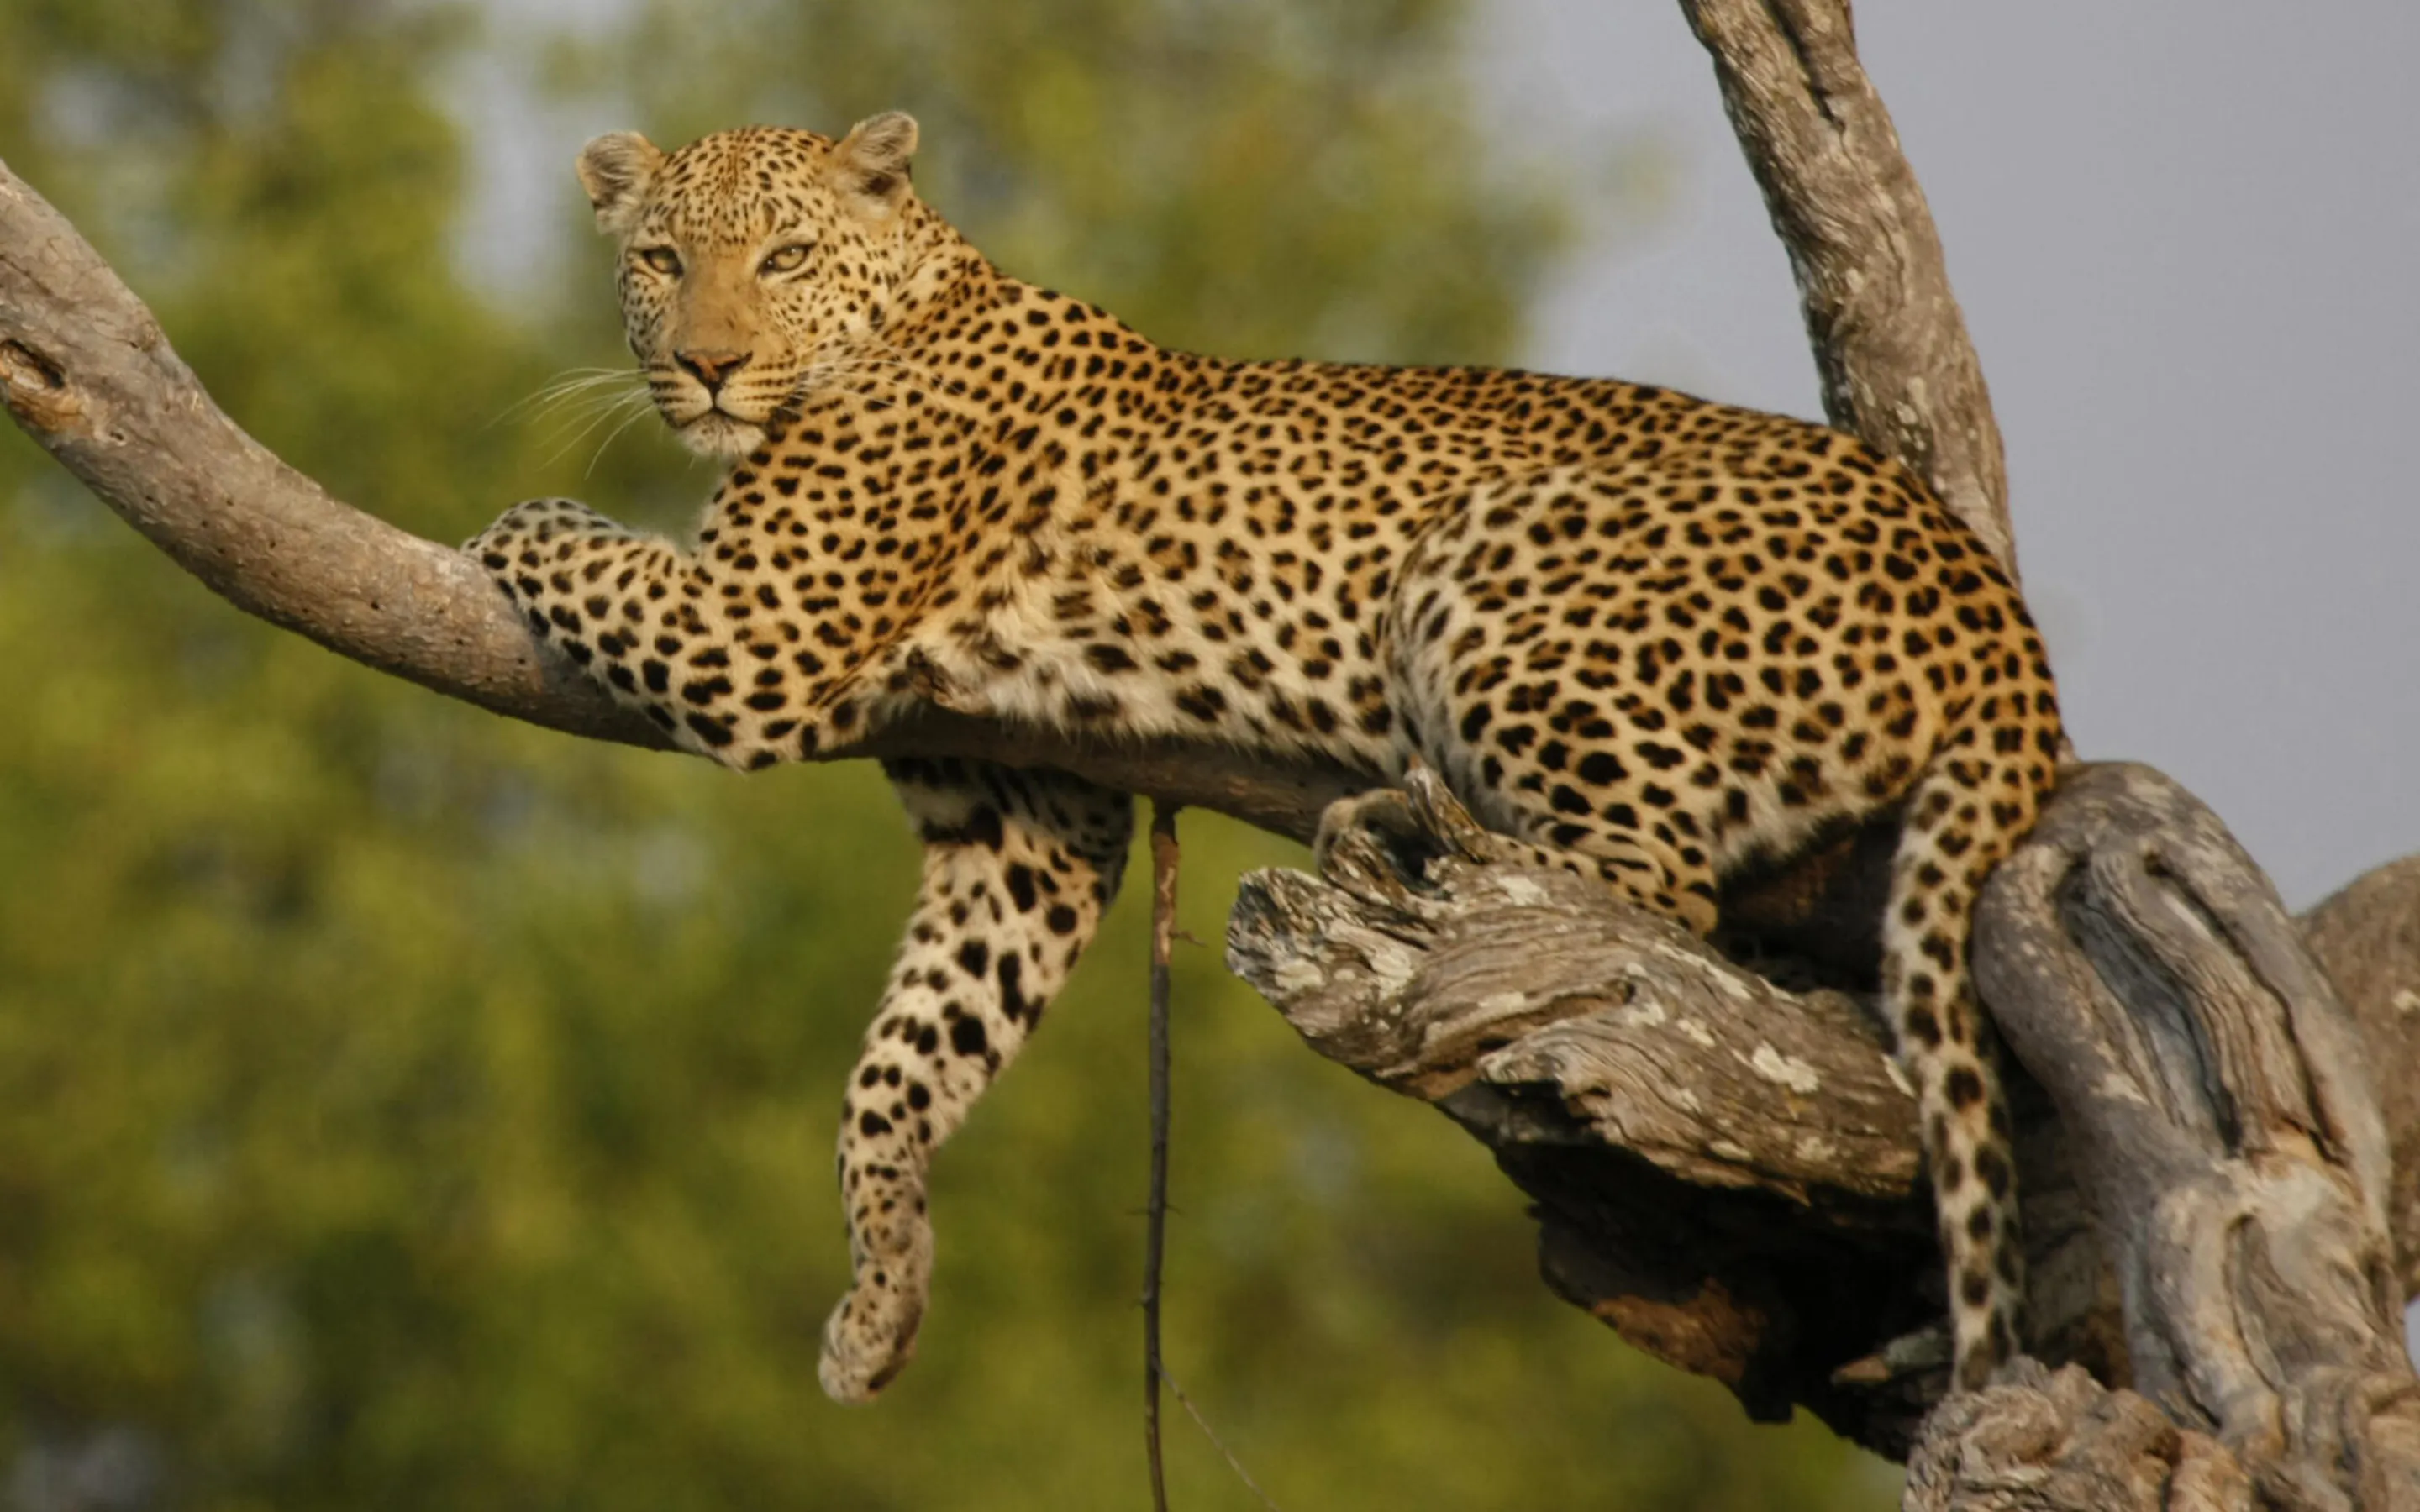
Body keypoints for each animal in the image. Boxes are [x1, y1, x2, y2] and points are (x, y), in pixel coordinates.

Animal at [468, 114, 2062, 1403]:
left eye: (786, 255)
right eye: (663, 260)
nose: (707, 366)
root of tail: (1988, 597)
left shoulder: (758, 632)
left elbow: (559, 540)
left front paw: (505, 527)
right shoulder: (1025, 821)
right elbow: (911, 1052)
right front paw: (883, 1298)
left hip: (1482, 554)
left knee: (1650, 890)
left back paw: (1406, 842)